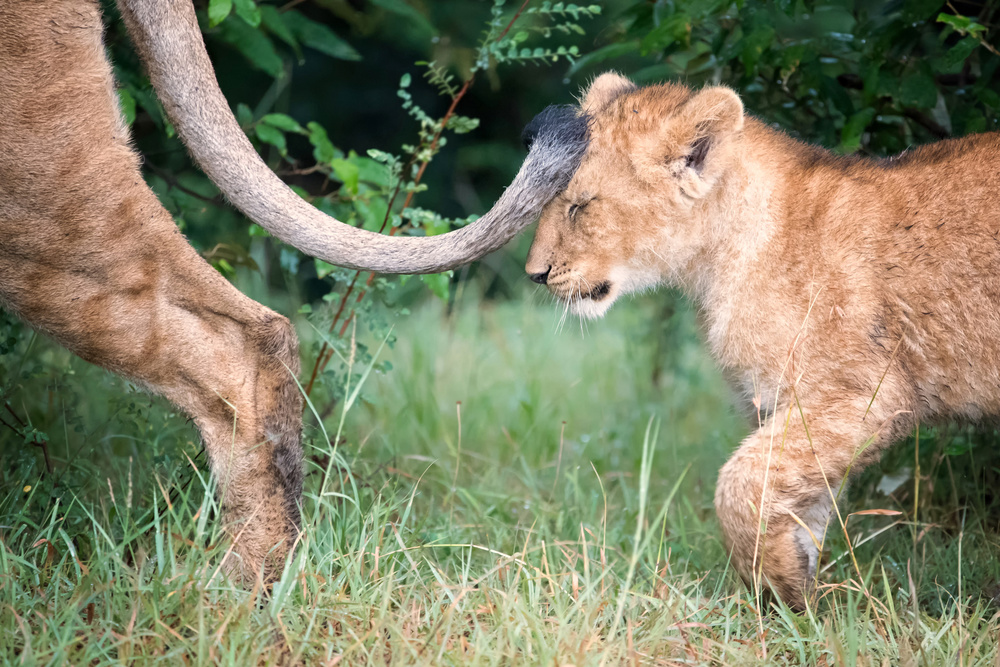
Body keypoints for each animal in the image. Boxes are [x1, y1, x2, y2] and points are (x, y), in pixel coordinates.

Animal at [527, 71, 1000, 609]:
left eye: (581, 205)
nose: (534, 274)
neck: (715, 262)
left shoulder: (862, 394)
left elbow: (739, 484)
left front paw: (778, 589)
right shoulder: (787, 406)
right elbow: (795, 501)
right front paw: (794, 597)